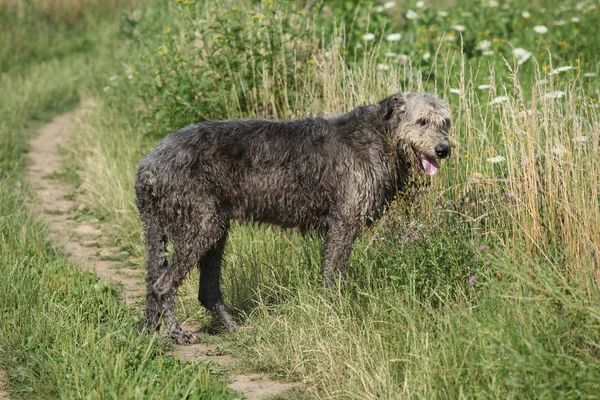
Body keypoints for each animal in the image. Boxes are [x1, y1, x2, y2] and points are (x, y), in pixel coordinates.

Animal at [136, 91, 452, 344]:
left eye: (445, 122)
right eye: (422, 121)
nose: (443, 150)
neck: (380, 135)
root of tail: (149, 164)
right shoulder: (344, 222)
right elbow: (333, 276)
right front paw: (335, 314)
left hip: (200, 228)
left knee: (191, 288)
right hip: (201, 227)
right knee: (163, 284)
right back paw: (177, 334)